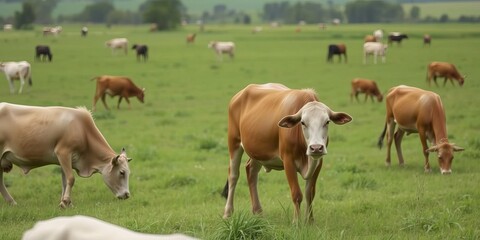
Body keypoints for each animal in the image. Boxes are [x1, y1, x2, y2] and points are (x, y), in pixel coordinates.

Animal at [0, 102, 132, 207]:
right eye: (122, 172)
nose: (127, 195)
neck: (82, 130)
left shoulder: (64, 159)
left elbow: (64, 181)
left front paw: (66, 202)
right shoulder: (63, 152)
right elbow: (71, 178)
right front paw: (66, 201)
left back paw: (11, 202)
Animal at [222, 83, 352, 223]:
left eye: (327, 122)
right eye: (303, 122)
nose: (316, 148)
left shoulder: (318, 162)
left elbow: (310, 193)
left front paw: (310, 221)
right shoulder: (288, 161)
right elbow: (297, 194)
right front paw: (296, 222)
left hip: (257, 151)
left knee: (251, 171)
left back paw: (258, 212)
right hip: (234, 142)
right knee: (233, 175)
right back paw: (228, 212)